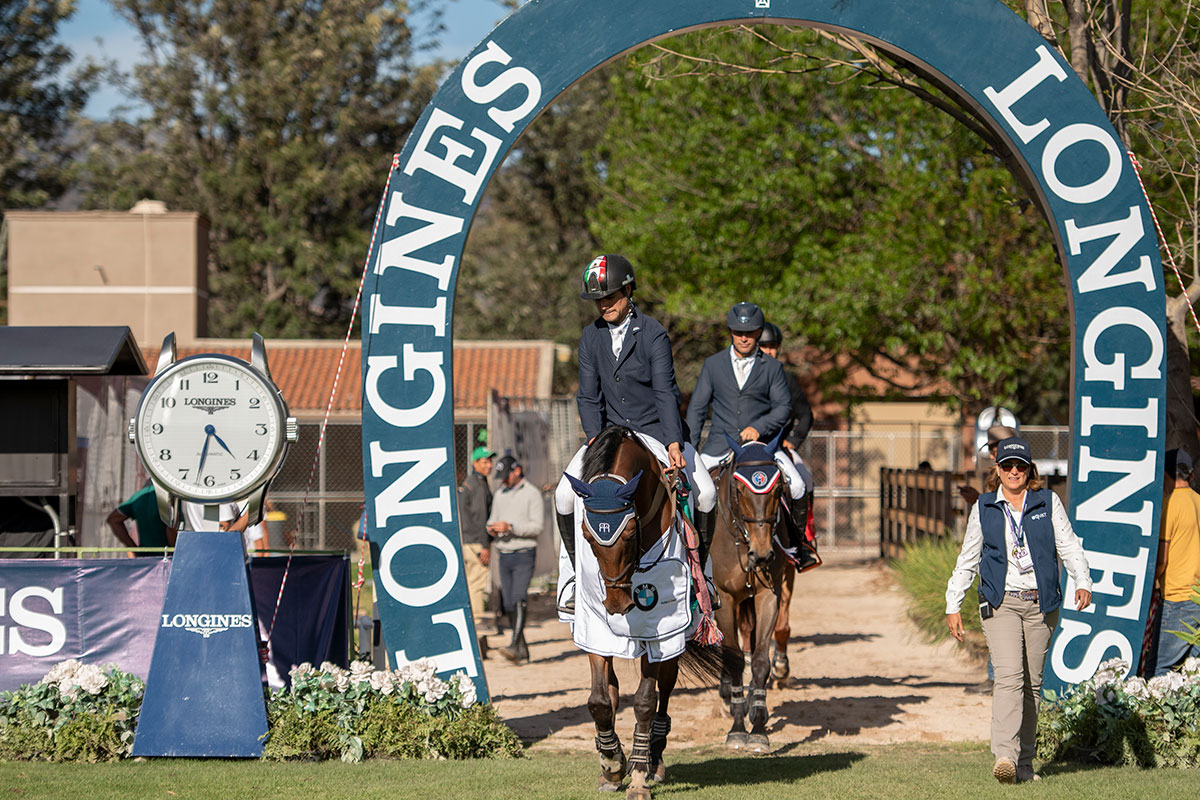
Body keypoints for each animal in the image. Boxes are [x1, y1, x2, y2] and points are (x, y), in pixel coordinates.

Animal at [564, 424, 720, 800]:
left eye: (631, 531)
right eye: (587, 534)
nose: (616, 605)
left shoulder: (659, 634)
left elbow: (646, 702)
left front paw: (637, 776)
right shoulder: (594, 629)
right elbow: (599, 701)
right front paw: (612, 764)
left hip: (679, 636)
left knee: (665, 689)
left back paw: (654, 759)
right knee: (613, 690)